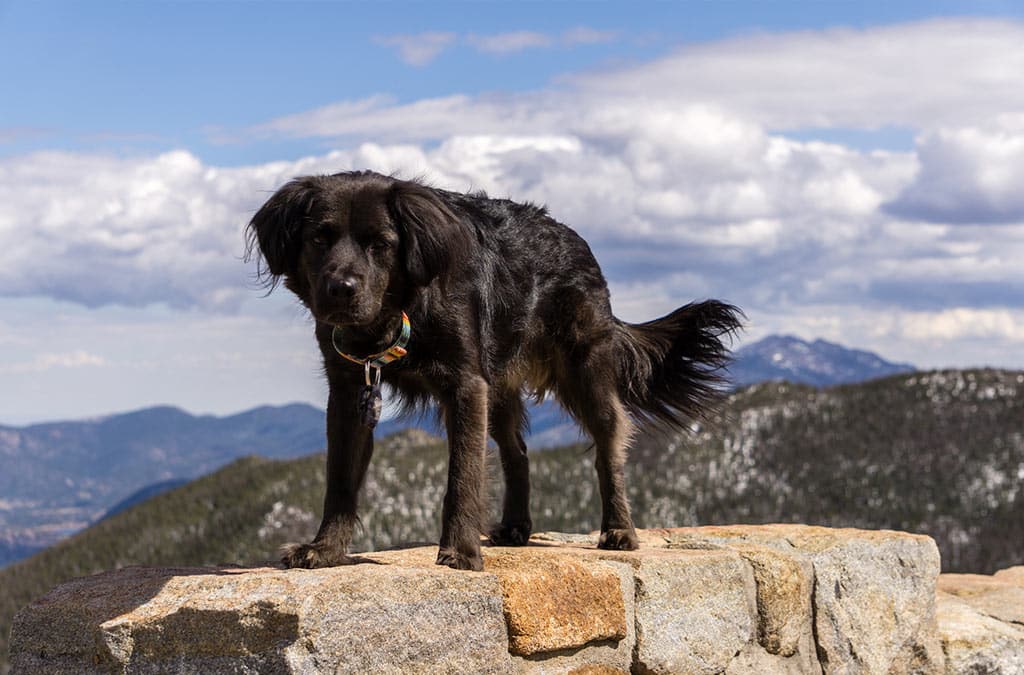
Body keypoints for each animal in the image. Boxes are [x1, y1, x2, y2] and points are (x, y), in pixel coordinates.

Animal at [247, 172, 745, 573]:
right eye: (318, 239)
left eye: (380, 244)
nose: (340, 289)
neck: (399, 312)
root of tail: (578, 241)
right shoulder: (352, 391)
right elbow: (340, 480)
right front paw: (325, 550)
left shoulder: (466, 385)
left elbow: (463, 476)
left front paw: (461, 552)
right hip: (501, 385)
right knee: (517, 451)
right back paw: (516, 526)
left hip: (583, 370)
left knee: (609, 445)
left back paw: (619, 530)